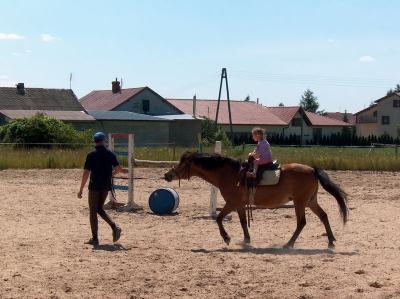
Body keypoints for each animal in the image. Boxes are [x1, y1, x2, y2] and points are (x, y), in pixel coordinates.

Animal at [164, 151, 348, 250]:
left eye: (183, 162)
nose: (168, 175)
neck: (228, 174)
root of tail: (312, 170)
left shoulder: (231, 203)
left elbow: (219, 218)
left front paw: (227, 238)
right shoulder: (239, 205)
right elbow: (243, 222)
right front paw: (246, 240)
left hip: (300, 202)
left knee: (301, 222)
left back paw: (288, 244)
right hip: (310, 201)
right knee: (324, 216)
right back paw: (331, 242)